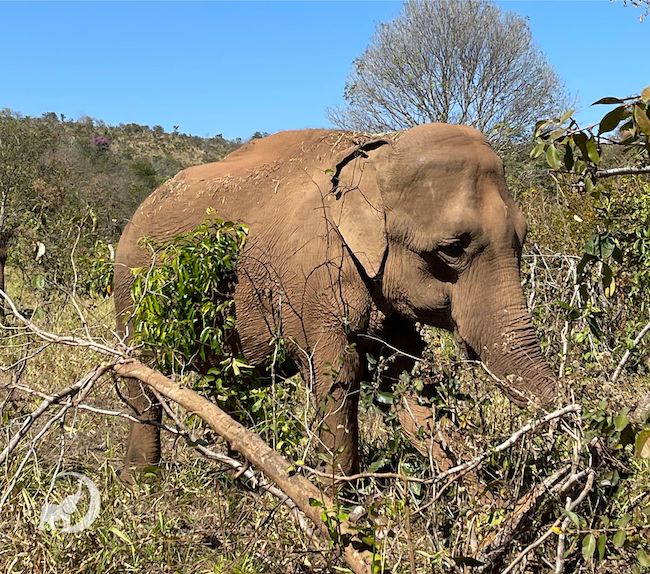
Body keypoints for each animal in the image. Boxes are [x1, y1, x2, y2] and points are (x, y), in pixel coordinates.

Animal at [114, 126, 556, 482]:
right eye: (452, 249)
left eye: (522, 239)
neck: (378, 151)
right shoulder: (311, 280)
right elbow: (336, 377)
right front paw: (340, 514)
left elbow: (401, 376)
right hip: (131, 290)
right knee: (140, 379)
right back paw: (141, 484)